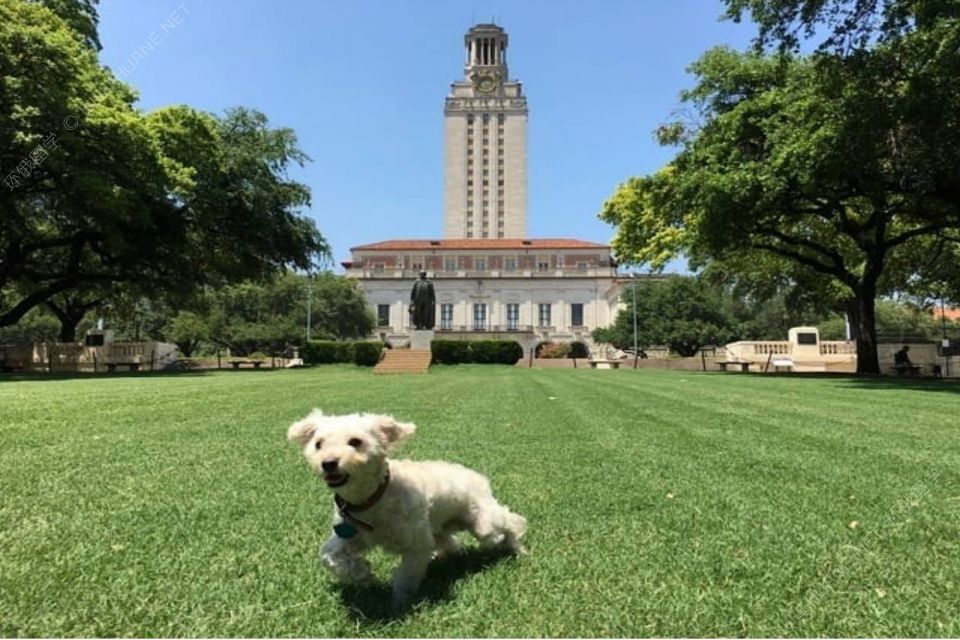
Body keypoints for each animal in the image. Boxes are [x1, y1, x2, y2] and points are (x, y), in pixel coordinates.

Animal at [288, 410, 528, 608]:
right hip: (441, 526)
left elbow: (406, 576)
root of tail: (476, 475)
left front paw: (399, 604)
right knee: (450, 542)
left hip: (483, 523)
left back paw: (517, 547)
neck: (373, 499)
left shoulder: (416, 544)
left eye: (355, 441)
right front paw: (362, 574)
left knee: (509, 523)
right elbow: (329, 555)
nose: (328, 463)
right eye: (318, 444)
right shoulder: (350, 534)